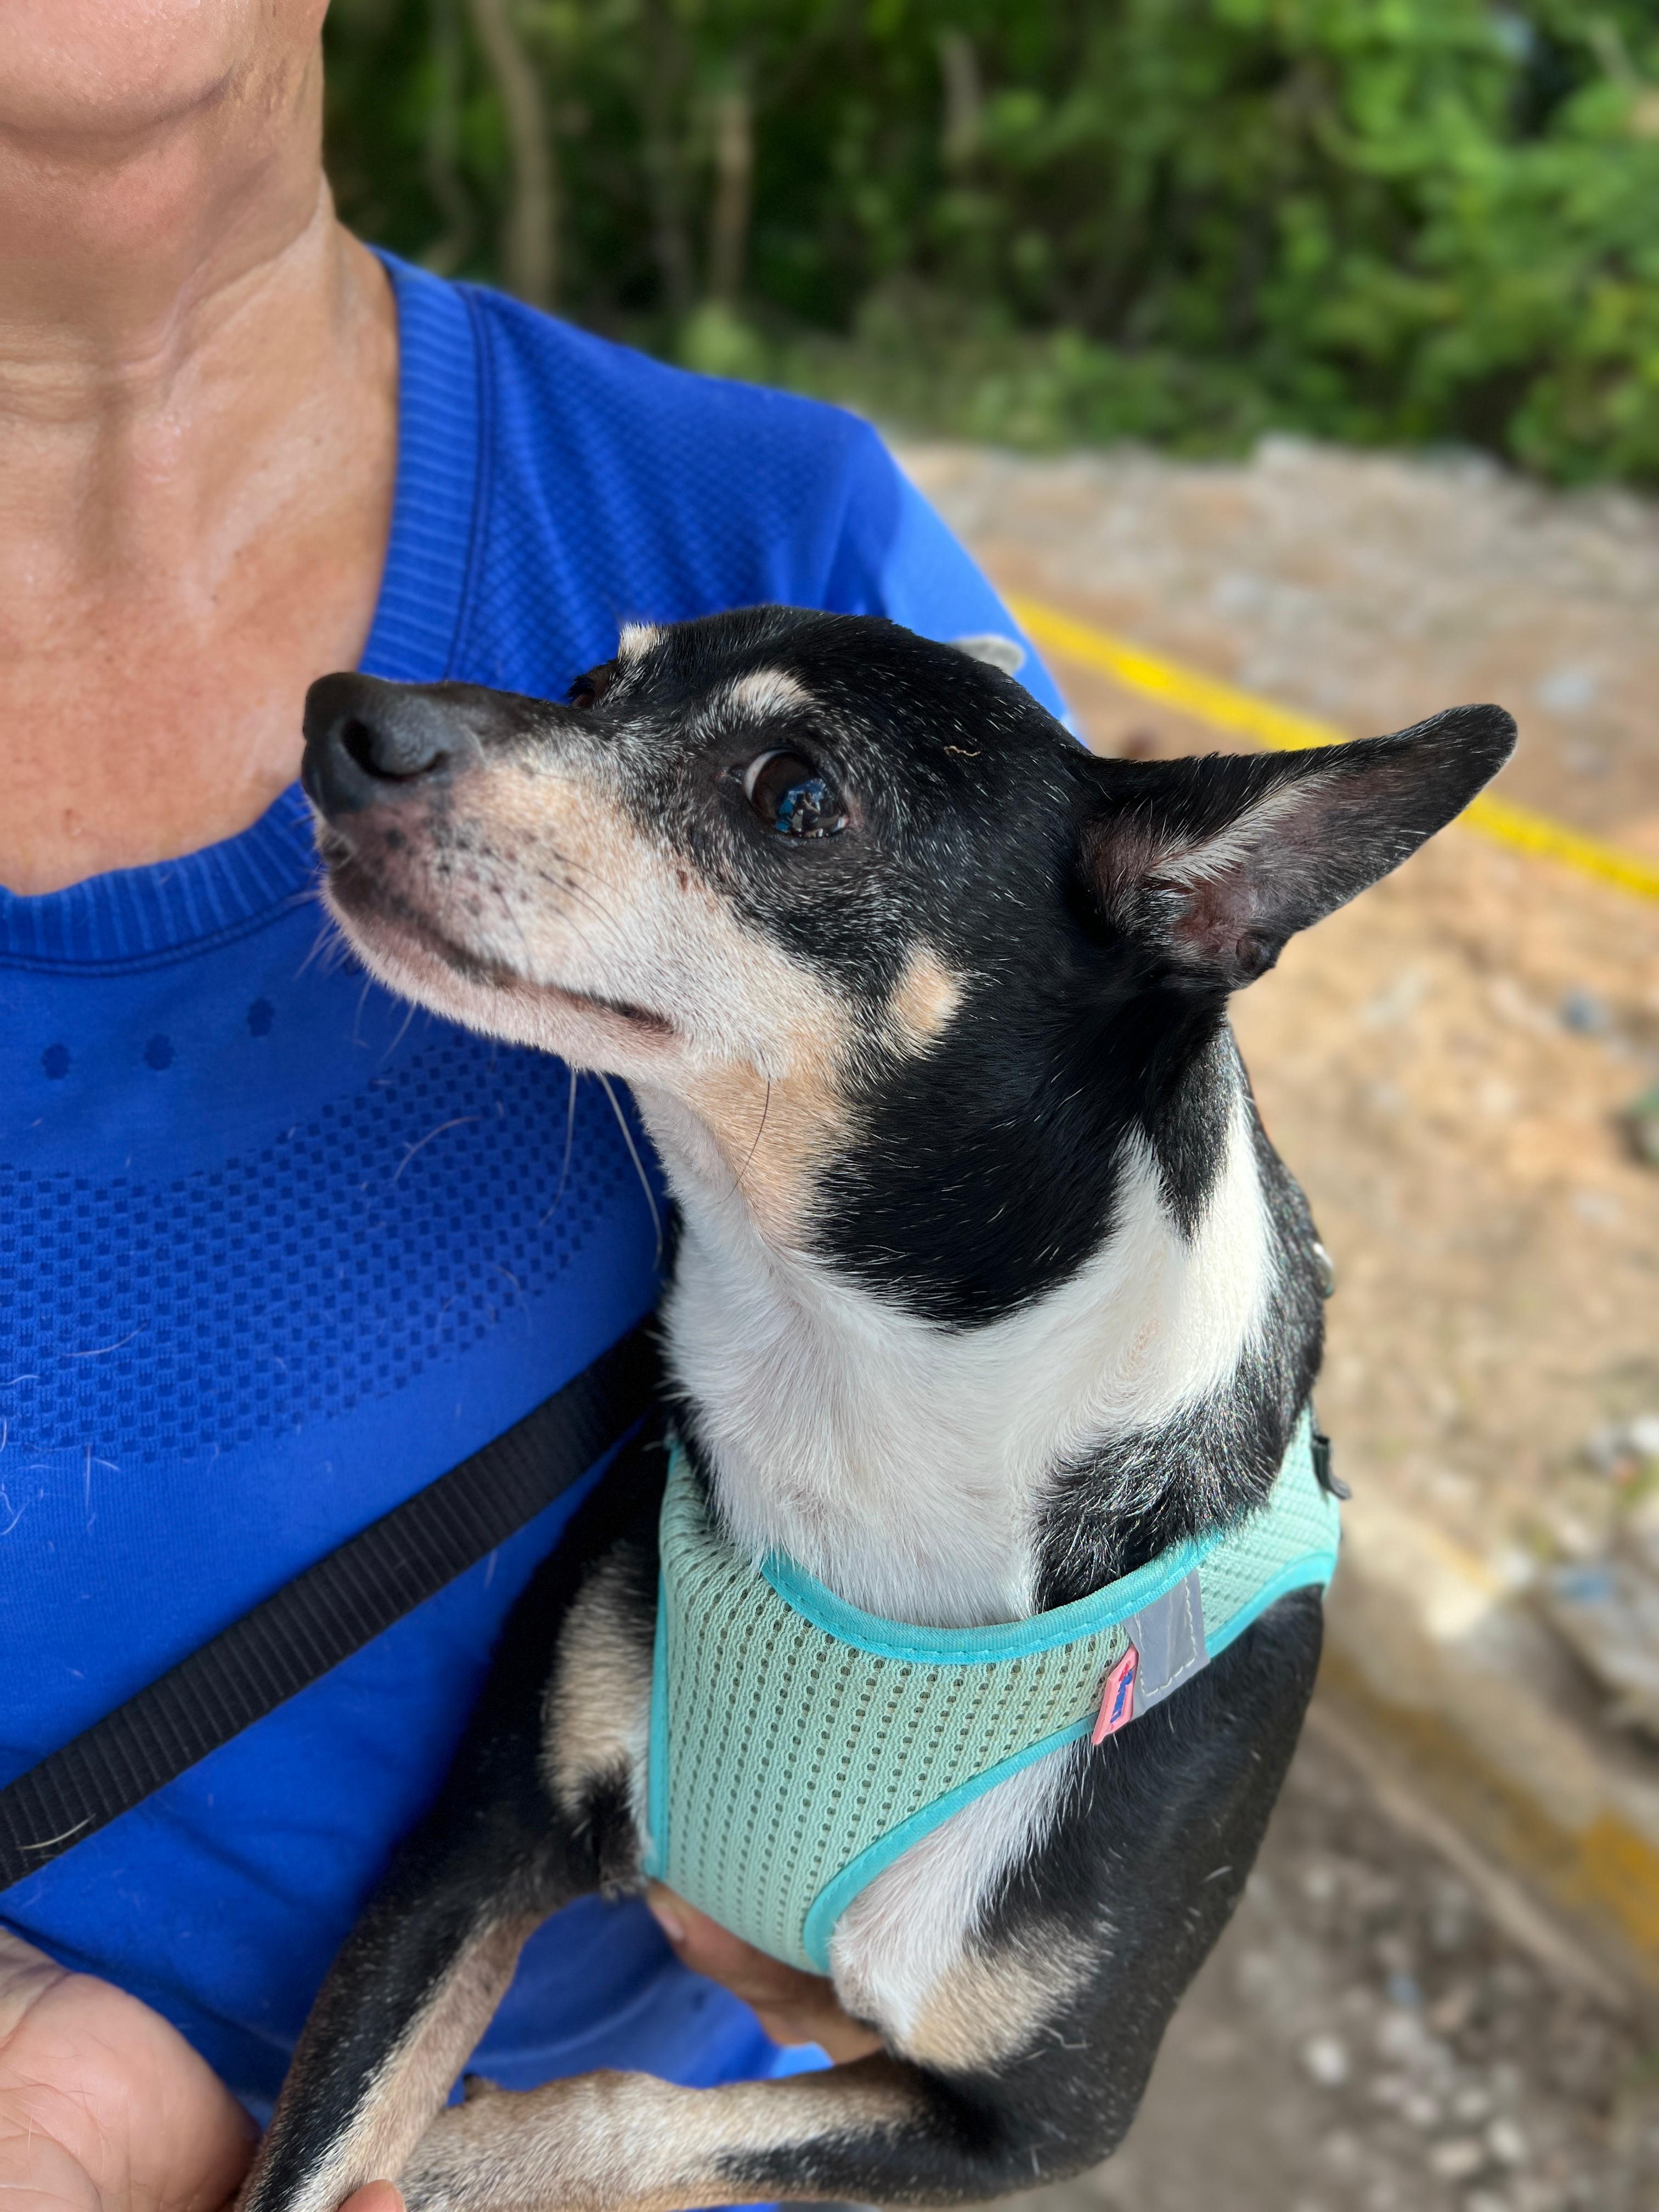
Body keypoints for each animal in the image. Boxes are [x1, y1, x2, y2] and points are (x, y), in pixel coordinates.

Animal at [245, 607, 1514, 2212]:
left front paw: (471, 2159)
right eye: (595, 687)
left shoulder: (1035, 2120)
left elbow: (631, 2115)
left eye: (796, 796)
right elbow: (319, 2143)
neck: (851, 1373)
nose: (342, 716)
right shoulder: (462, 1857)